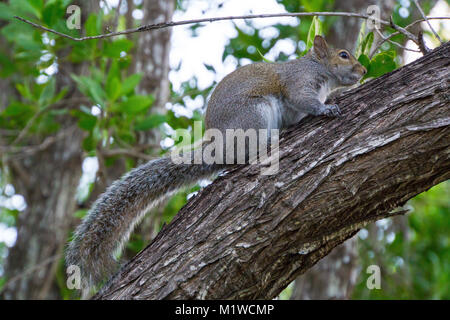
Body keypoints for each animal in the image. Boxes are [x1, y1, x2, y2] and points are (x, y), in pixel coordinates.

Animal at [66, 35, 366, 288]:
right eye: (343, 54)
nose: (363, 71)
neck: (318, 69)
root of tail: (218, 148)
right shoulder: (298, 83)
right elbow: (304, 100)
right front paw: (326, 108)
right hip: (254, 115)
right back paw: (269, 141)